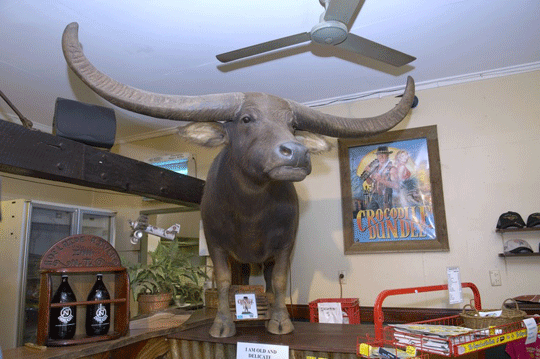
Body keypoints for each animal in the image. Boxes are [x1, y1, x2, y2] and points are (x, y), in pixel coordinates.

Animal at [61, 21, 416, 338]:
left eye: (292, 125)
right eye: (246, 119)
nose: (297, 153)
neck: (251, 212)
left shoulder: (285, 244)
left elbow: (278, 281)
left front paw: (281, 322)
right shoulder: (216, 243)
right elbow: (221, 281)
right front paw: (222, 325)